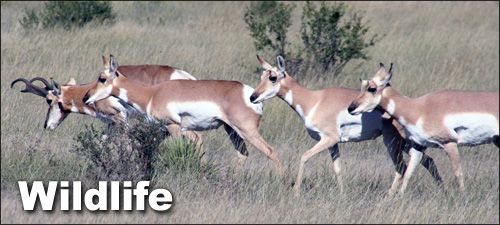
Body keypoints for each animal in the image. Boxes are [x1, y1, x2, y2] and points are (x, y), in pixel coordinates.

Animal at [85, 55, 286, 175]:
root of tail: (251, 94)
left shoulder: (174, 127)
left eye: (102, 78)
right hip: (232, 131)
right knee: (243, 154)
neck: (152, 93)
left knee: (271, 152)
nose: (86, 97)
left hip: (247, 131)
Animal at [250, 55, 442, 196]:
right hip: (406, 143)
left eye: (273, 77)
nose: (253, 97)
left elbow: (304, 156)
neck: (313, 100)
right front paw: (342, 193)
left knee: (402, 166)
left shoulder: (328, 139)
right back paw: (443, 189)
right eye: (261, 76)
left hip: (392, 142)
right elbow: (337, 169)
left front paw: (296, 191)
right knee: (427, 161)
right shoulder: (333, 144)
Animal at [348, 62, 500, 193]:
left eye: (372, 88)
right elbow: (408, 173)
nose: (351, 108)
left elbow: (458, 173)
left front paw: (463, 196)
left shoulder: (450, 143)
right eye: (362, 87)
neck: (418, 108)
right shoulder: (418, 147)